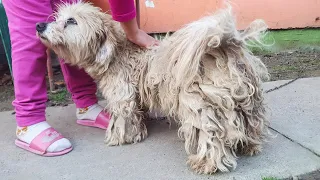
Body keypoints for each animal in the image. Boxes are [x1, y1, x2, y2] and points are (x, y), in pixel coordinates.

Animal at [38, 1, 272, 174]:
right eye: (57, 18)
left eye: (71, 21)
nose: (40, 26)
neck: (117, 52)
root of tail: (221, 48)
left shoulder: (122, 96)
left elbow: (124, 118)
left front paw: (122, 137)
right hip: (246, 102)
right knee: (248, 124)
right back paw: (250, 145)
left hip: (201, 107)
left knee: (211, 137)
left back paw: (207, 164)